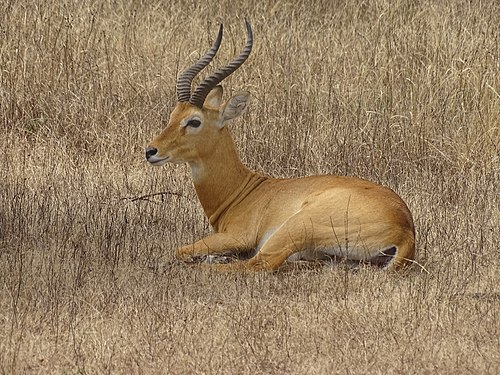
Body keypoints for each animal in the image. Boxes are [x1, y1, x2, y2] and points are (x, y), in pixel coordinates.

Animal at [146, 19, 416, 272]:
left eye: (194, 121)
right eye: (173, 115)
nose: (151, 151)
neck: (244, 191)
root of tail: (405, 228)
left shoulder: (235, 236)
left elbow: (181, 249)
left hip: (293, 228)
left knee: (259, 264)